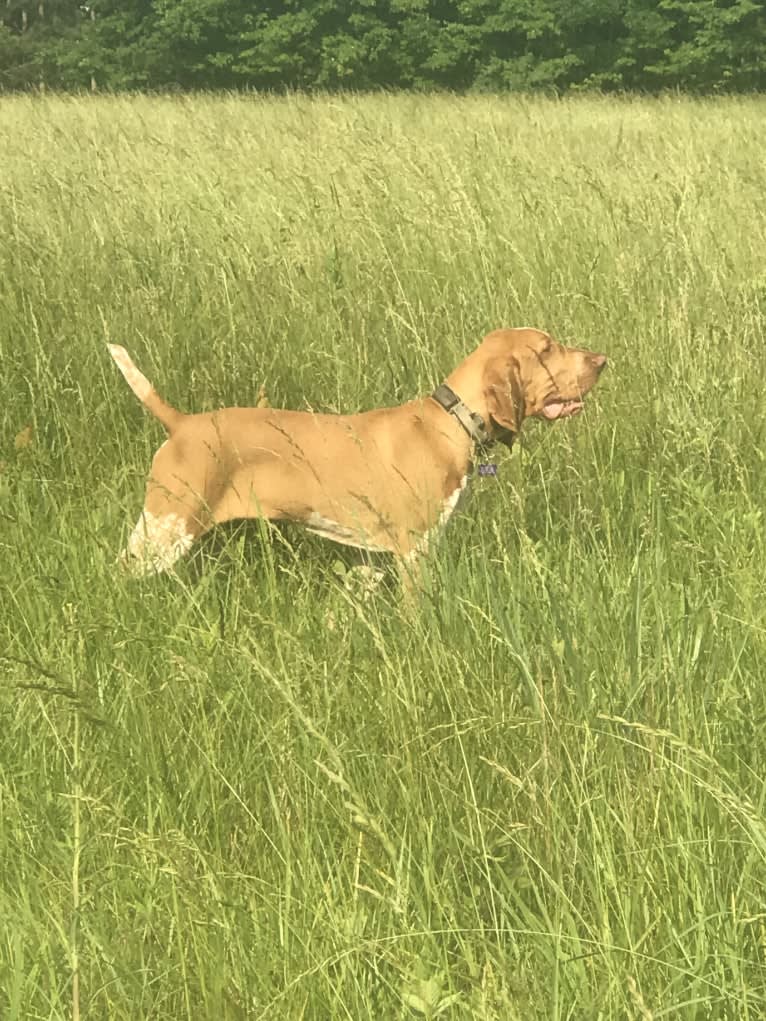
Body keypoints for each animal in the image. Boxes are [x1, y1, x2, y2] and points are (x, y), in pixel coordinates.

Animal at [110, 328, 608, 579]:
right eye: (547, 349)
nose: (602, 360)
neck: (449, 423)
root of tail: (182, 423)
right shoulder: (414, 550)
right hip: (164, 530)